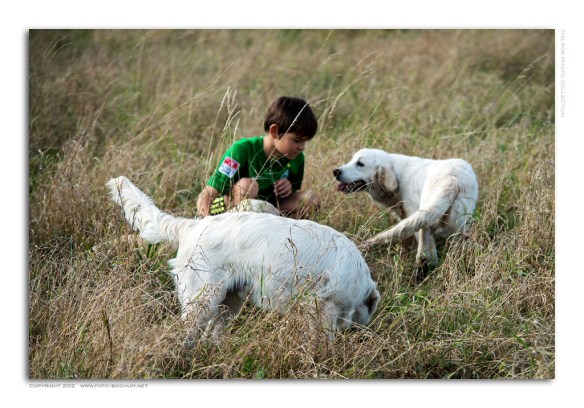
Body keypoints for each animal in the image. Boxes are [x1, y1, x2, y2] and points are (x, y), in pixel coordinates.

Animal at [107, 176, 380, 341]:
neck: (358, 277)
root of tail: (192, 226)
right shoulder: (324, 308)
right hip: (202, 301)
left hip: (227, 303)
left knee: (211, 336)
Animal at [333, 148, 478, 277]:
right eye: (352, 160)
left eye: (360, 163)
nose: (335, 171)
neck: (398, 178)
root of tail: (453, 181)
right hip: (459, 226)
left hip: (426, 218)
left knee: (425, 253)